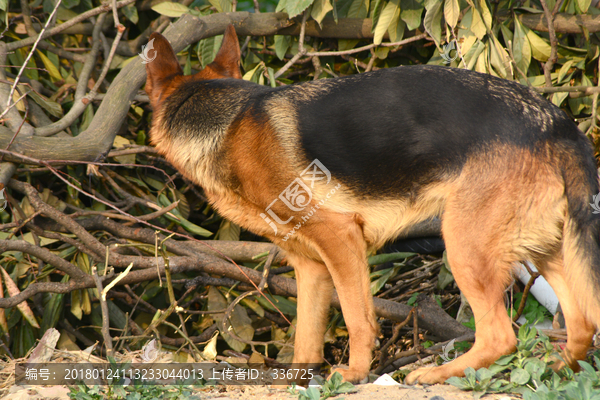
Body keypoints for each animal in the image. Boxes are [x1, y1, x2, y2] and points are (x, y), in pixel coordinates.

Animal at [144, 25, 600, 384]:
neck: (228, 120)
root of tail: (557, 123)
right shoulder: (311, 267)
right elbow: (307, 335)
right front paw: (298, 379)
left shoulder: (341, 240)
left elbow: (357, 318)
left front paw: (355, 373)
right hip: (547, 251)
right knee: (581, 326)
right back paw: (558, 371)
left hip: (465, 247)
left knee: (500, 335)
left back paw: (435, 374)